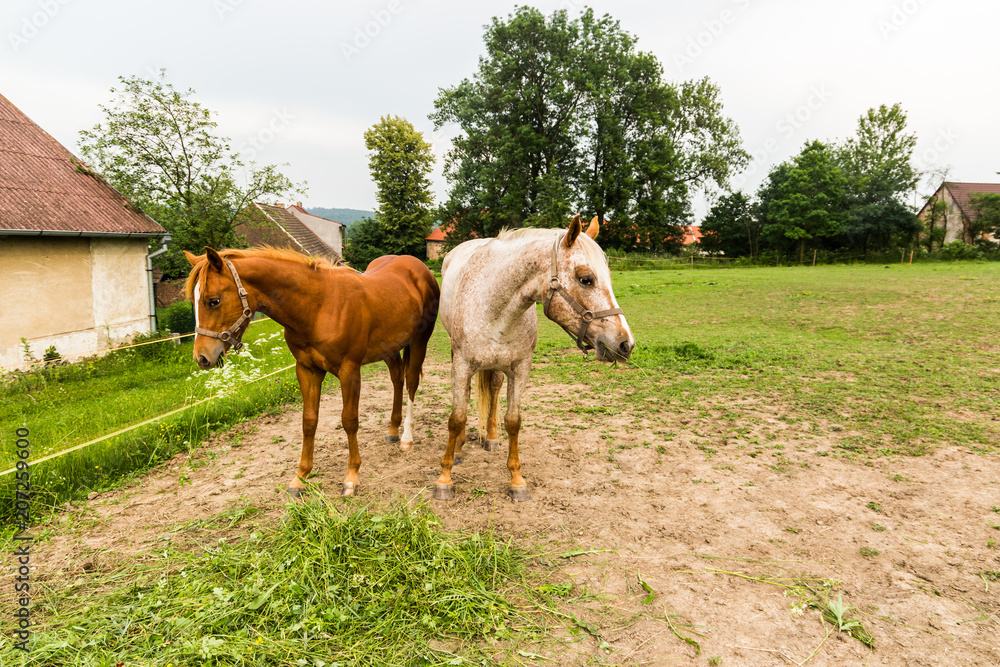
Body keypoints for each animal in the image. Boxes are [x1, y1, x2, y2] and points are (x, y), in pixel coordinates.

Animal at [183, 246, 439, 497]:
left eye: (213, 301)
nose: (202, 358)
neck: (318, 307)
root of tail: (418, 268)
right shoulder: (307, 370)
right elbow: (308, 422)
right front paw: (300, 478)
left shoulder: (349, 371)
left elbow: (349, 421)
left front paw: (351, 478)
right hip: (390, 349)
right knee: (397, 379)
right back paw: (393, 430)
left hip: (420, 341)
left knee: (411, 382)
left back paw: (406, 439)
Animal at [434, 214, 634, 501]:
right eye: (586, 279)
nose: (625, 343)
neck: (493, 308)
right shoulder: (461, 365)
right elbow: (457, 417)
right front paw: (445, 478)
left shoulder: (520, 368)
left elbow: (513, 421)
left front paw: (517, 480)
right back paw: (460, 447)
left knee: (493, 388)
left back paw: (491, 438)